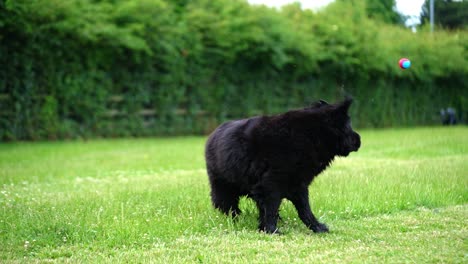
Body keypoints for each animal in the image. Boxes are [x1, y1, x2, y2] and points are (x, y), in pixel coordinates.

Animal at [206, 97, 362, 233]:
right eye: (348, 126)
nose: (359, 140)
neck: (310, 135)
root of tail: (213, 134)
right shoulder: (271, 185)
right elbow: (271, 209)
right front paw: (270, 230)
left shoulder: (298, 186)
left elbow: (305, 210)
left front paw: (317, 227)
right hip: (224, 187)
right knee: (228, 206)